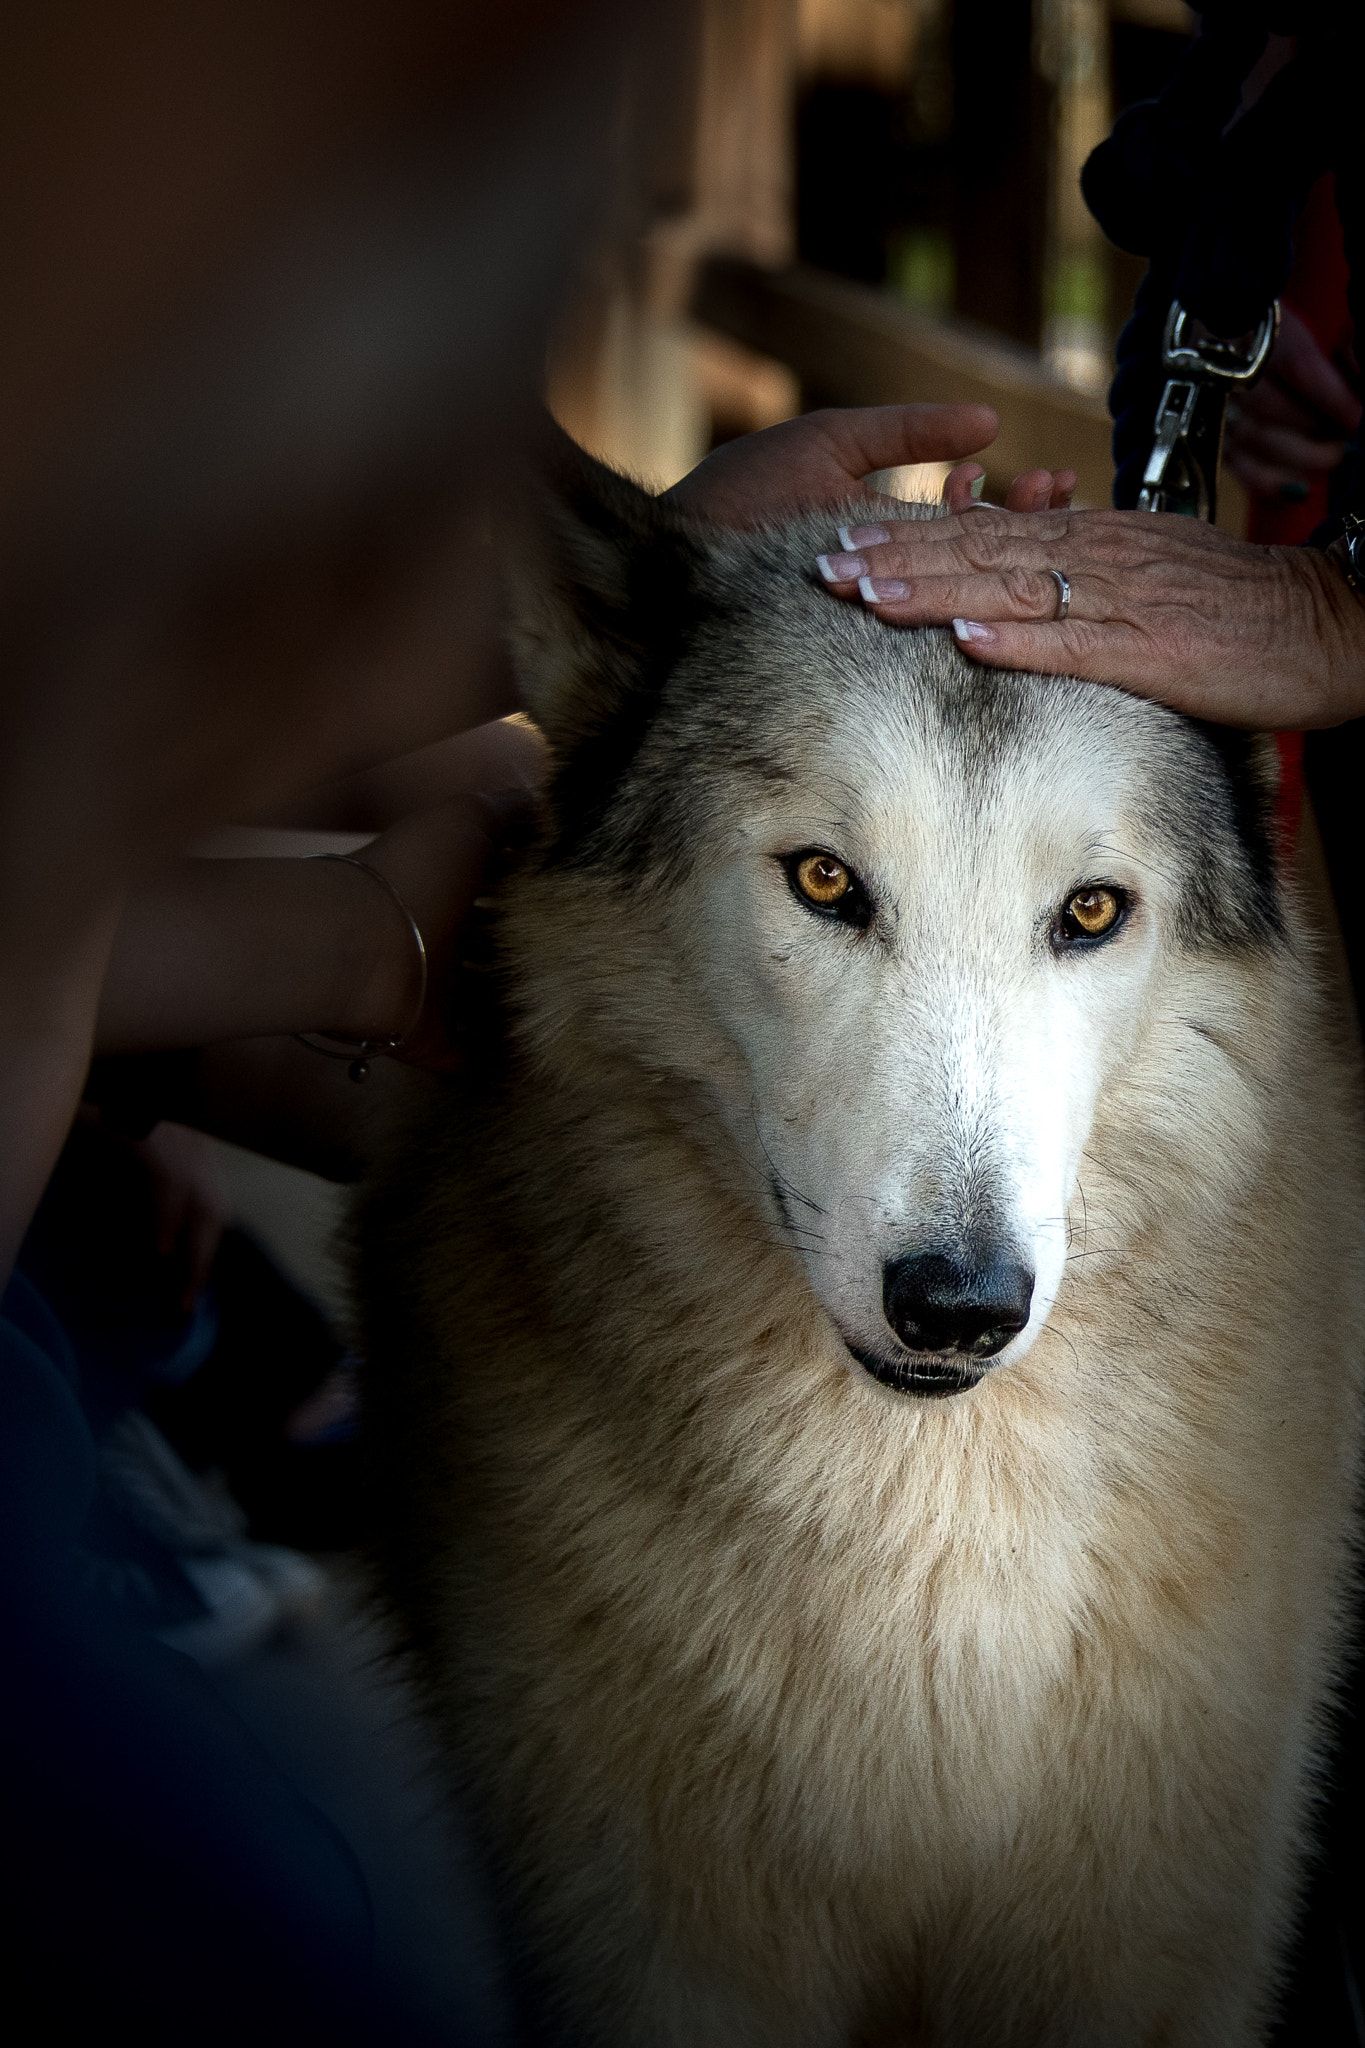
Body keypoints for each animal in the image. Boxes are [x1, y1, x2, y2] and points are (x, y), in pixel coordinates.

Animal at [358, 446, 1365, 2046]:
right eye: (826, 882)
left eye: (1091, 911)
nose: (959, 1303)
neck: (927, 1553)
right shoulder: (657, 1952)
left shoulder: (1141, 1951)